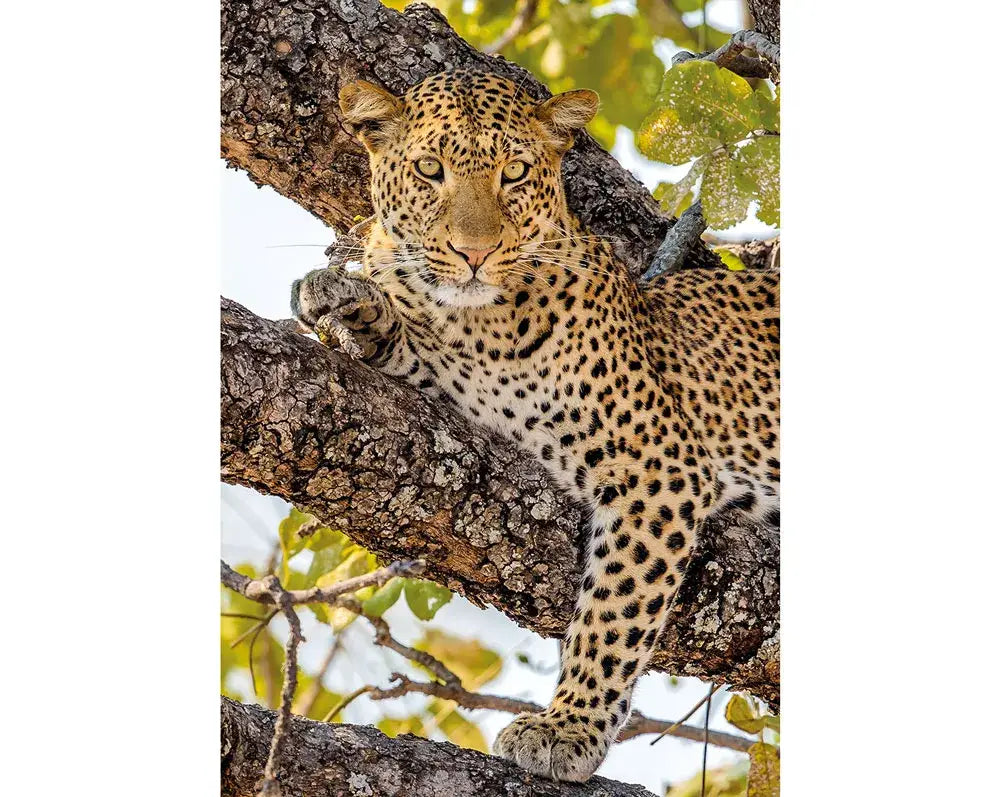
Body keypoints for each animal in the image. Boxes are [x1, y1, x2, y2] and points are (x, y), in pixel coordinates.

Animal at [291, 69, 779, 783]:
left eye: (515, 173)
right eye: (430, 170)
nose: (474, 252)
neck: (481, 327)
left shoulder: (660, 465)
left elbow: (614, 612)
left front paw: (567, 729)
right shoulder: (448, 384)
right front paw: (345, 298)